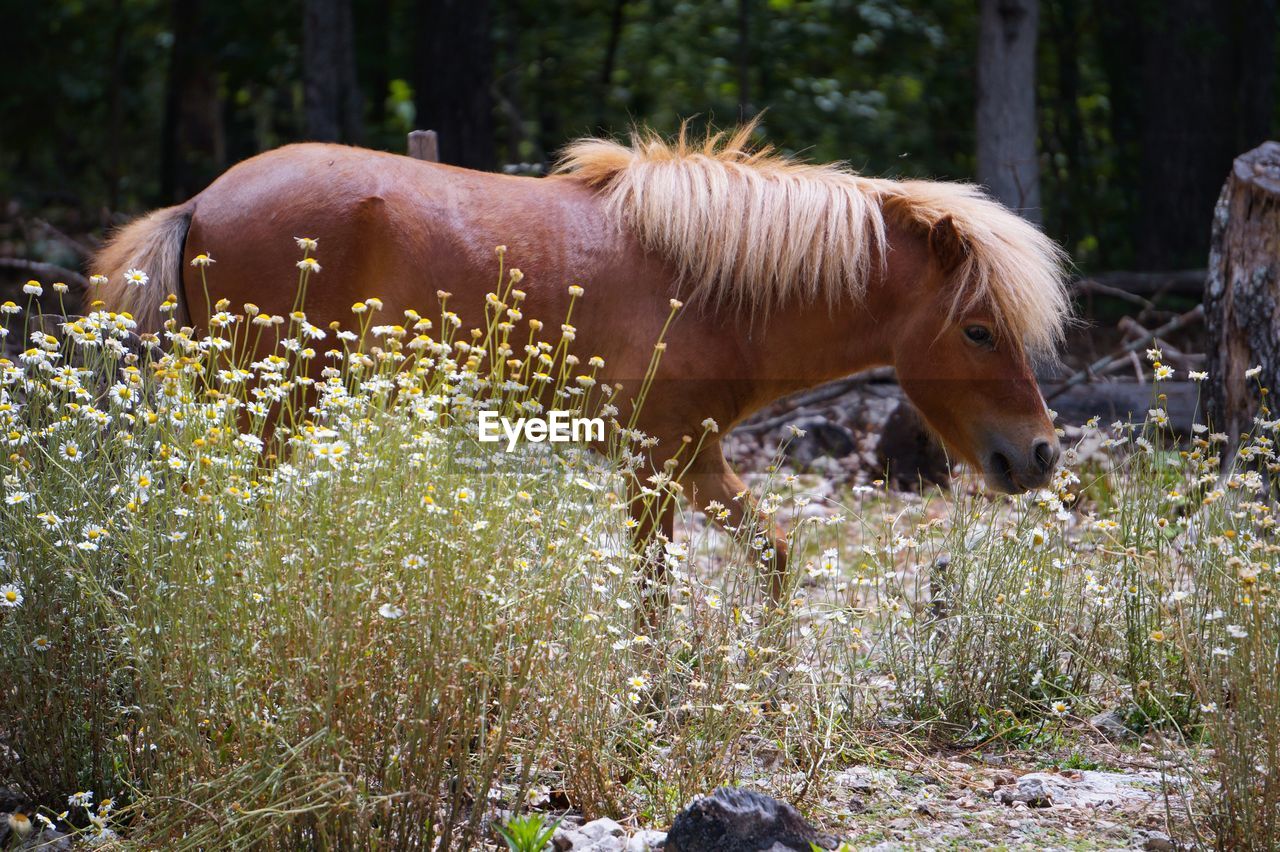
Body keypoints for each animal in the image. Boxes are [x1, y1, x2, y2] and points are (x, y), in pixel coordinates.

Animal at [92, 124, 1070, 596]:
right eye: (979, 330)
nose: (1041, 453)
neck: (712, 284)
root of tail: (203, 200)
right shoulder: (652, 464)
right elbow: (652, 589)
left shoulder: (695, 459)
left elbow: (773, 557)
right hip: (268, 408)